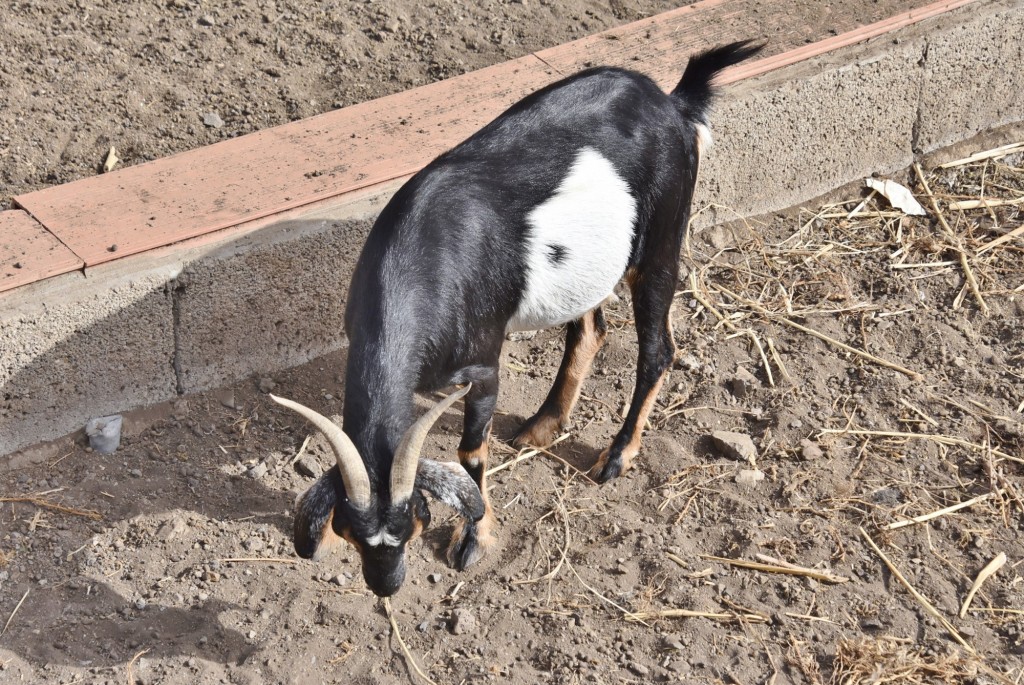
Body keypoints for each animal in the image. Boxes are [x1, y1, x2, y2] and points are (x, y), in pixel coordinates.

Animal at [268, 41, 765, 593]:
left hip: (660, 243)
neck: (420, 257)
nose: (386, 585)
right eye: (354, 533)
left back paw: (615, 458)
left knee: (658, 349)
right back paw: (542, 425)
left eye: (414, 523)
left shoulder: (483, 367)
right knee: (590, 329)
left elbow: (470, 454)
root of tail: (673, 102)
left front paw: (472, 541)